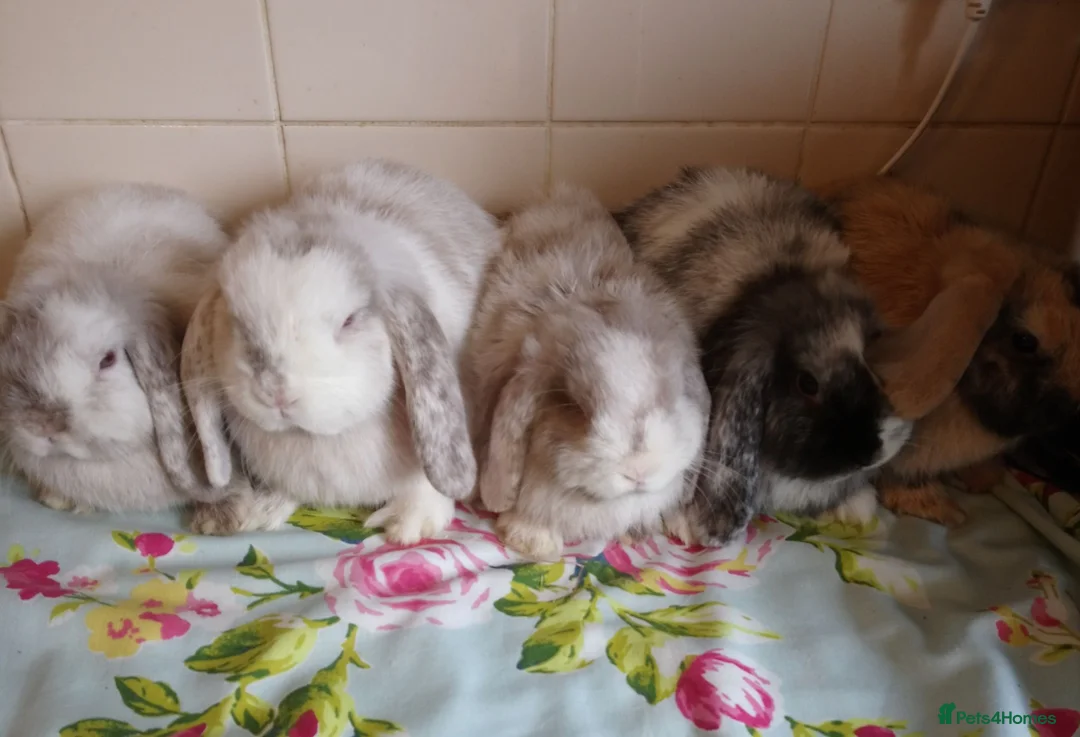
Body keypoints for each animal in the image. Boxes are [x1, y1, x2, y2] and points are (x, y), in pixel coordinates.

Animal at [182, 158, 499, 543]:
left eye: (349, 320)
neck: (318, 439)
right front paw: (261, 510)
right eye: (236, 320)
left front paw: (407, 526)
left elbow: (425, 479)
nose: (275, 391)